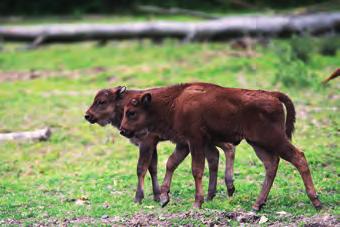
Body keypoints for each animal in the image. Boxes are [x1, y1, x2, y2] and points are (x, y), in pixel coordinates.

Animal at [121, 82, 322, 210]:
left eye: (131, 112)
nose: (123, 130)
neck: (174, 102)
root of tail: (272, 95)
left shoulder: (195, 141)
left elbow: (196, 169)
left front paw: (197, 203)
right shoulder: (184, 143)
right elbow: (171, 163)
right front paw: (164, 198)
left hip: (273, 139)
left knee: (298, 157)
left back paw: (316, 202)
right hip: (258, 143)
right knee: (271, 164)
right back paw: (257, 205)